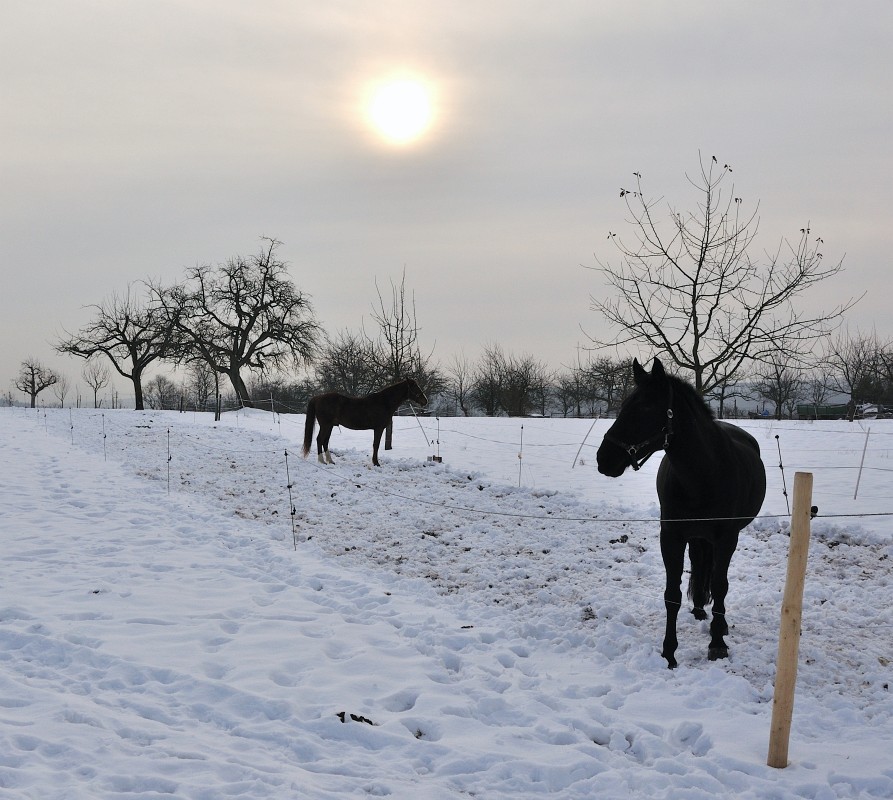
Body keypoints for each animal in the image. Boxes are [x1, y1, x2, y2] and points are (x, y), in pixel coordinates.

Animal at [596, 358, 764, 668]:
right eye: (624, 405)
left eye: (645, 407)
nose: (605, 459)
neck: (703, 475)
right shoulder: (672, 536)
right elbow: (671, 594)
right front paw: (669, 652)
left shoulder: (726, 539)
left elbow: (720, 586)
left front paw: (717, 644)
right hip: (696, 537)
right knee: (698, 564)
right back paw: (698, 608)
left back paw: (719, 624)